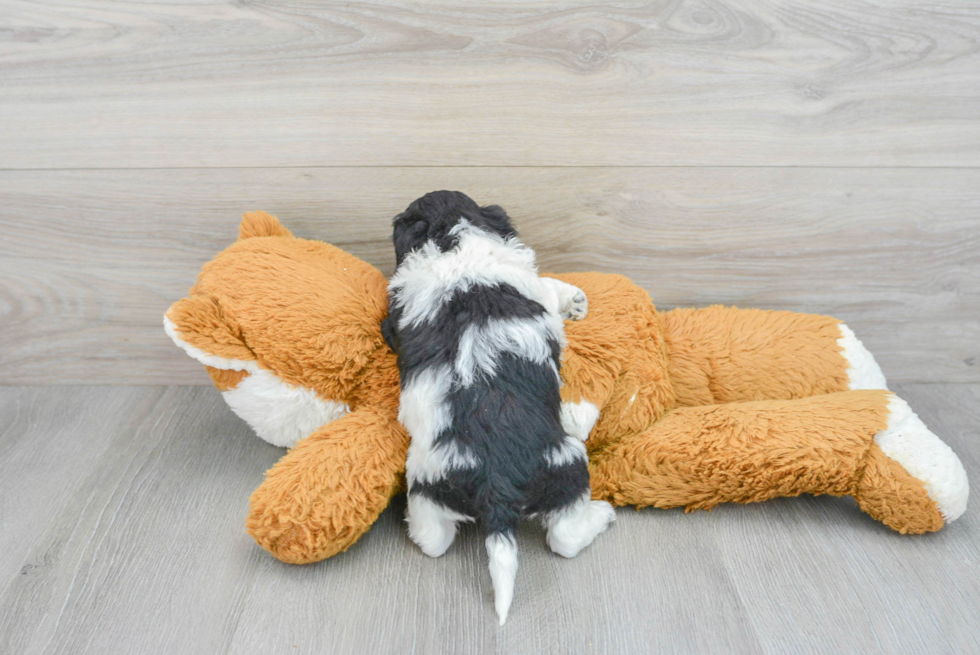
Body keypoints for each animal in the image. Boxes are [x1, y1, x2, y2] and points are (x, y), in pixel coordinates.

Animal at [380, 191, 612, 624]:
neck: (454, 238)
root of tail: (497, 486)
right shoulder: (532, 286)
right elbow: (548, 288)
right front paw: (574, 299)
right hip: (569, 466)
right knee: (565, 537)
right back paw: (601, 508)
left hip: (427, 481)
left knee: (433, 539)